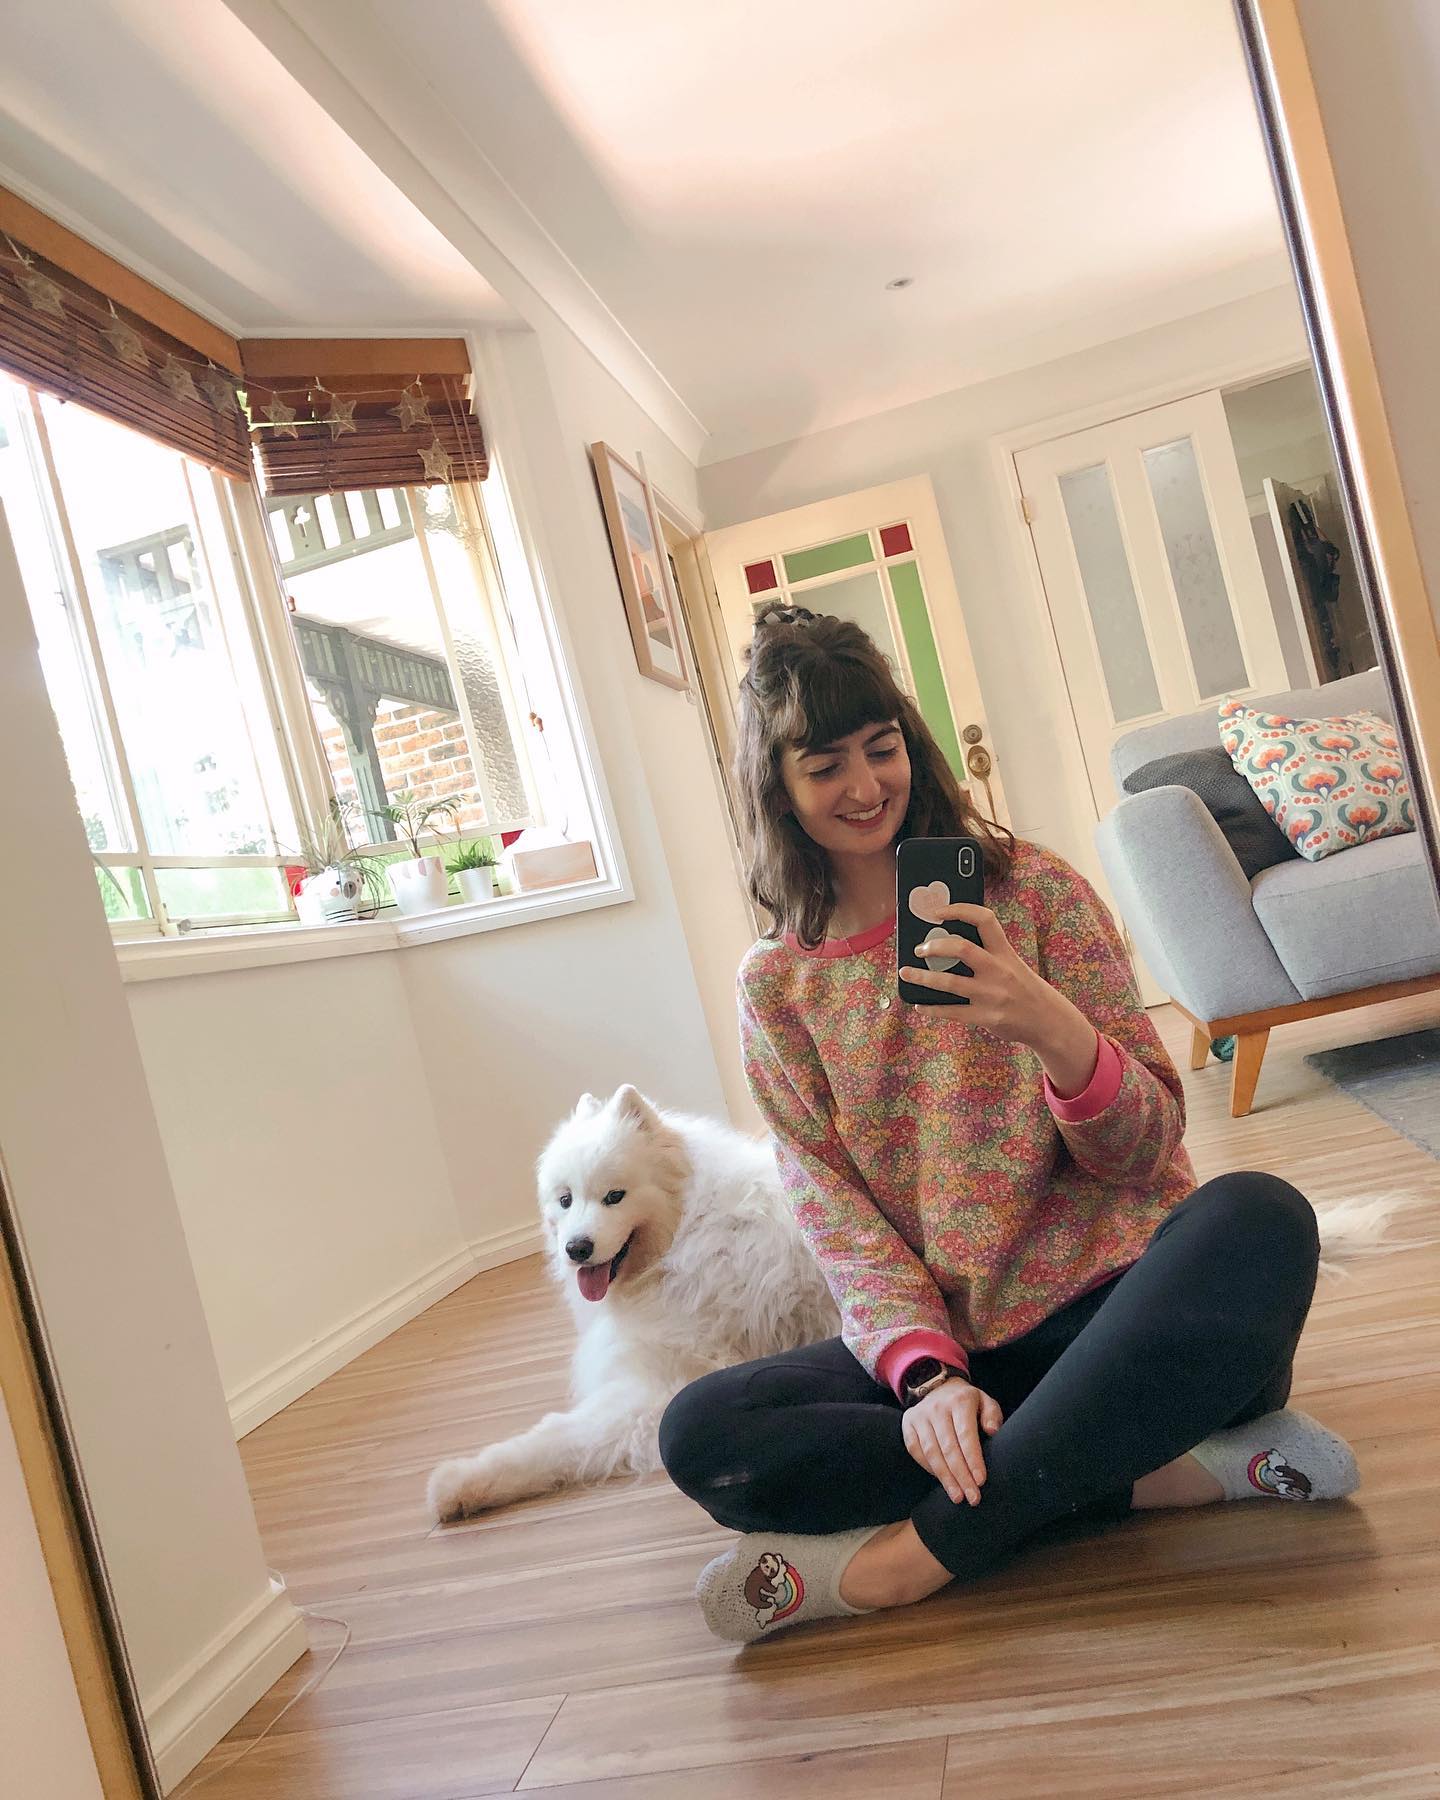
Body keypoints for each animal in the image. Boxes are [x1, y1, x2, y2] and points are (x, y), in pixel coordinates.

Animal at [421, 1080, 838, 1519]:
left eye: (615, 1196)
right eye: (566, 1200)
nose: (576, 1249)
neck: (686, 1233)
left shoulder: (665, 1385)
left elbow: (560, 1436)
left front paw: (460, 1481)